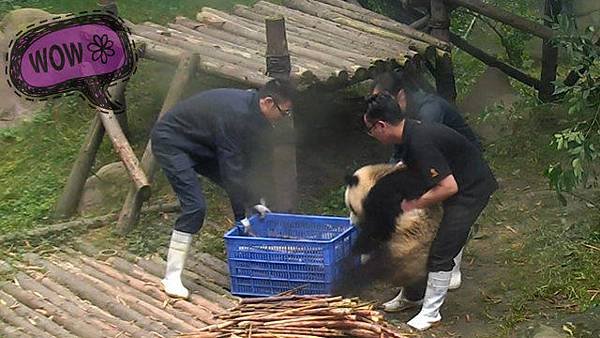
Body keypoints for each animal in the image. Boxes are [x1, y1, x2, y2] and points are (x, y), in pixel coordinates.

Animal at [340, 162, 442, 290]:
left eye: (351, 207)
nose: (352, 223)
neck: (378, 175)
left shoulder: (384, 195)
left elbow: (378, 228)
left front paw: (356, 251)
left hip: (405, 246)